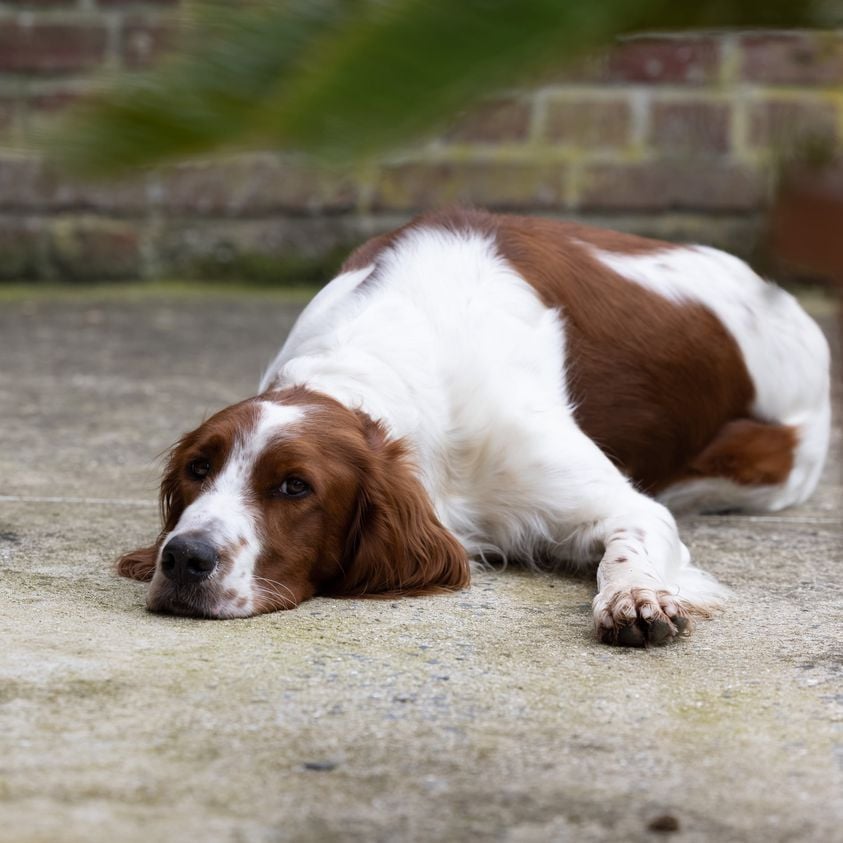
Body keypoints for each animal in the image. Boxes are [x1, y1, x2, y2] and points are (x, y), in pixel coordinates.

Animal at [118, 209, 832, 648]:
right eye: (198, 469)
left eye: (296, 487)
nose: (183, 558)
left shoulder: (623, 502)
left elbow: (628, 546)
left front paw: (637, 600)